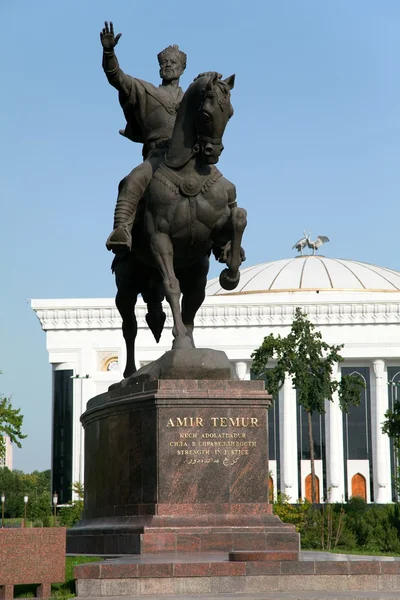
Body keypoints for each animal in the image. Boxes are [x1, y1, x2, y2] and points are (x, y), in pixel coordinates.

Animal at [112, 72, 247, 378]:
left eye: (230, 113)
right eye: (207, 114)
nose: (213, 151)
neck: (188, 171)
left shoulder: (215, 231)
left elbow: (239, 217)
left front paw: (231, 275)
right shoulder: (159, 239)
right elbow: (172, 286)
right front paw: (180, 343)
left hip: (195, 272)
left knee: (192, 303)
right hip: (126, 284)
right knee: (129, 326)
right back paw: (130, 372)